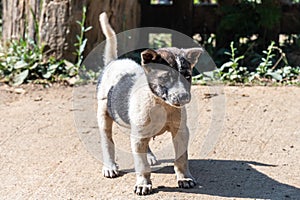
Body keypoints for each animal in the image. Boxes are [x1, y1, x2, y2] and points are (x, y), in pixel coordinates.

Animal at [97, 12, 203, 195]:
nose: (183, 97)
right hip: (104, 116)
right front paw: (143, 184)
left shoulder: (181, 131)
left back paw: (150, 156)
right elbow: (141, 165)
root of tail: (114, 62)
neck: (161, 104)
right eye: (165, 77)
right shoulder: (138, 134)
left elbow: (181, 158)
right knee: (107, 142)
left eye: (187, 76)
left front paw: (184, 178)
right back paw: (110, 166)